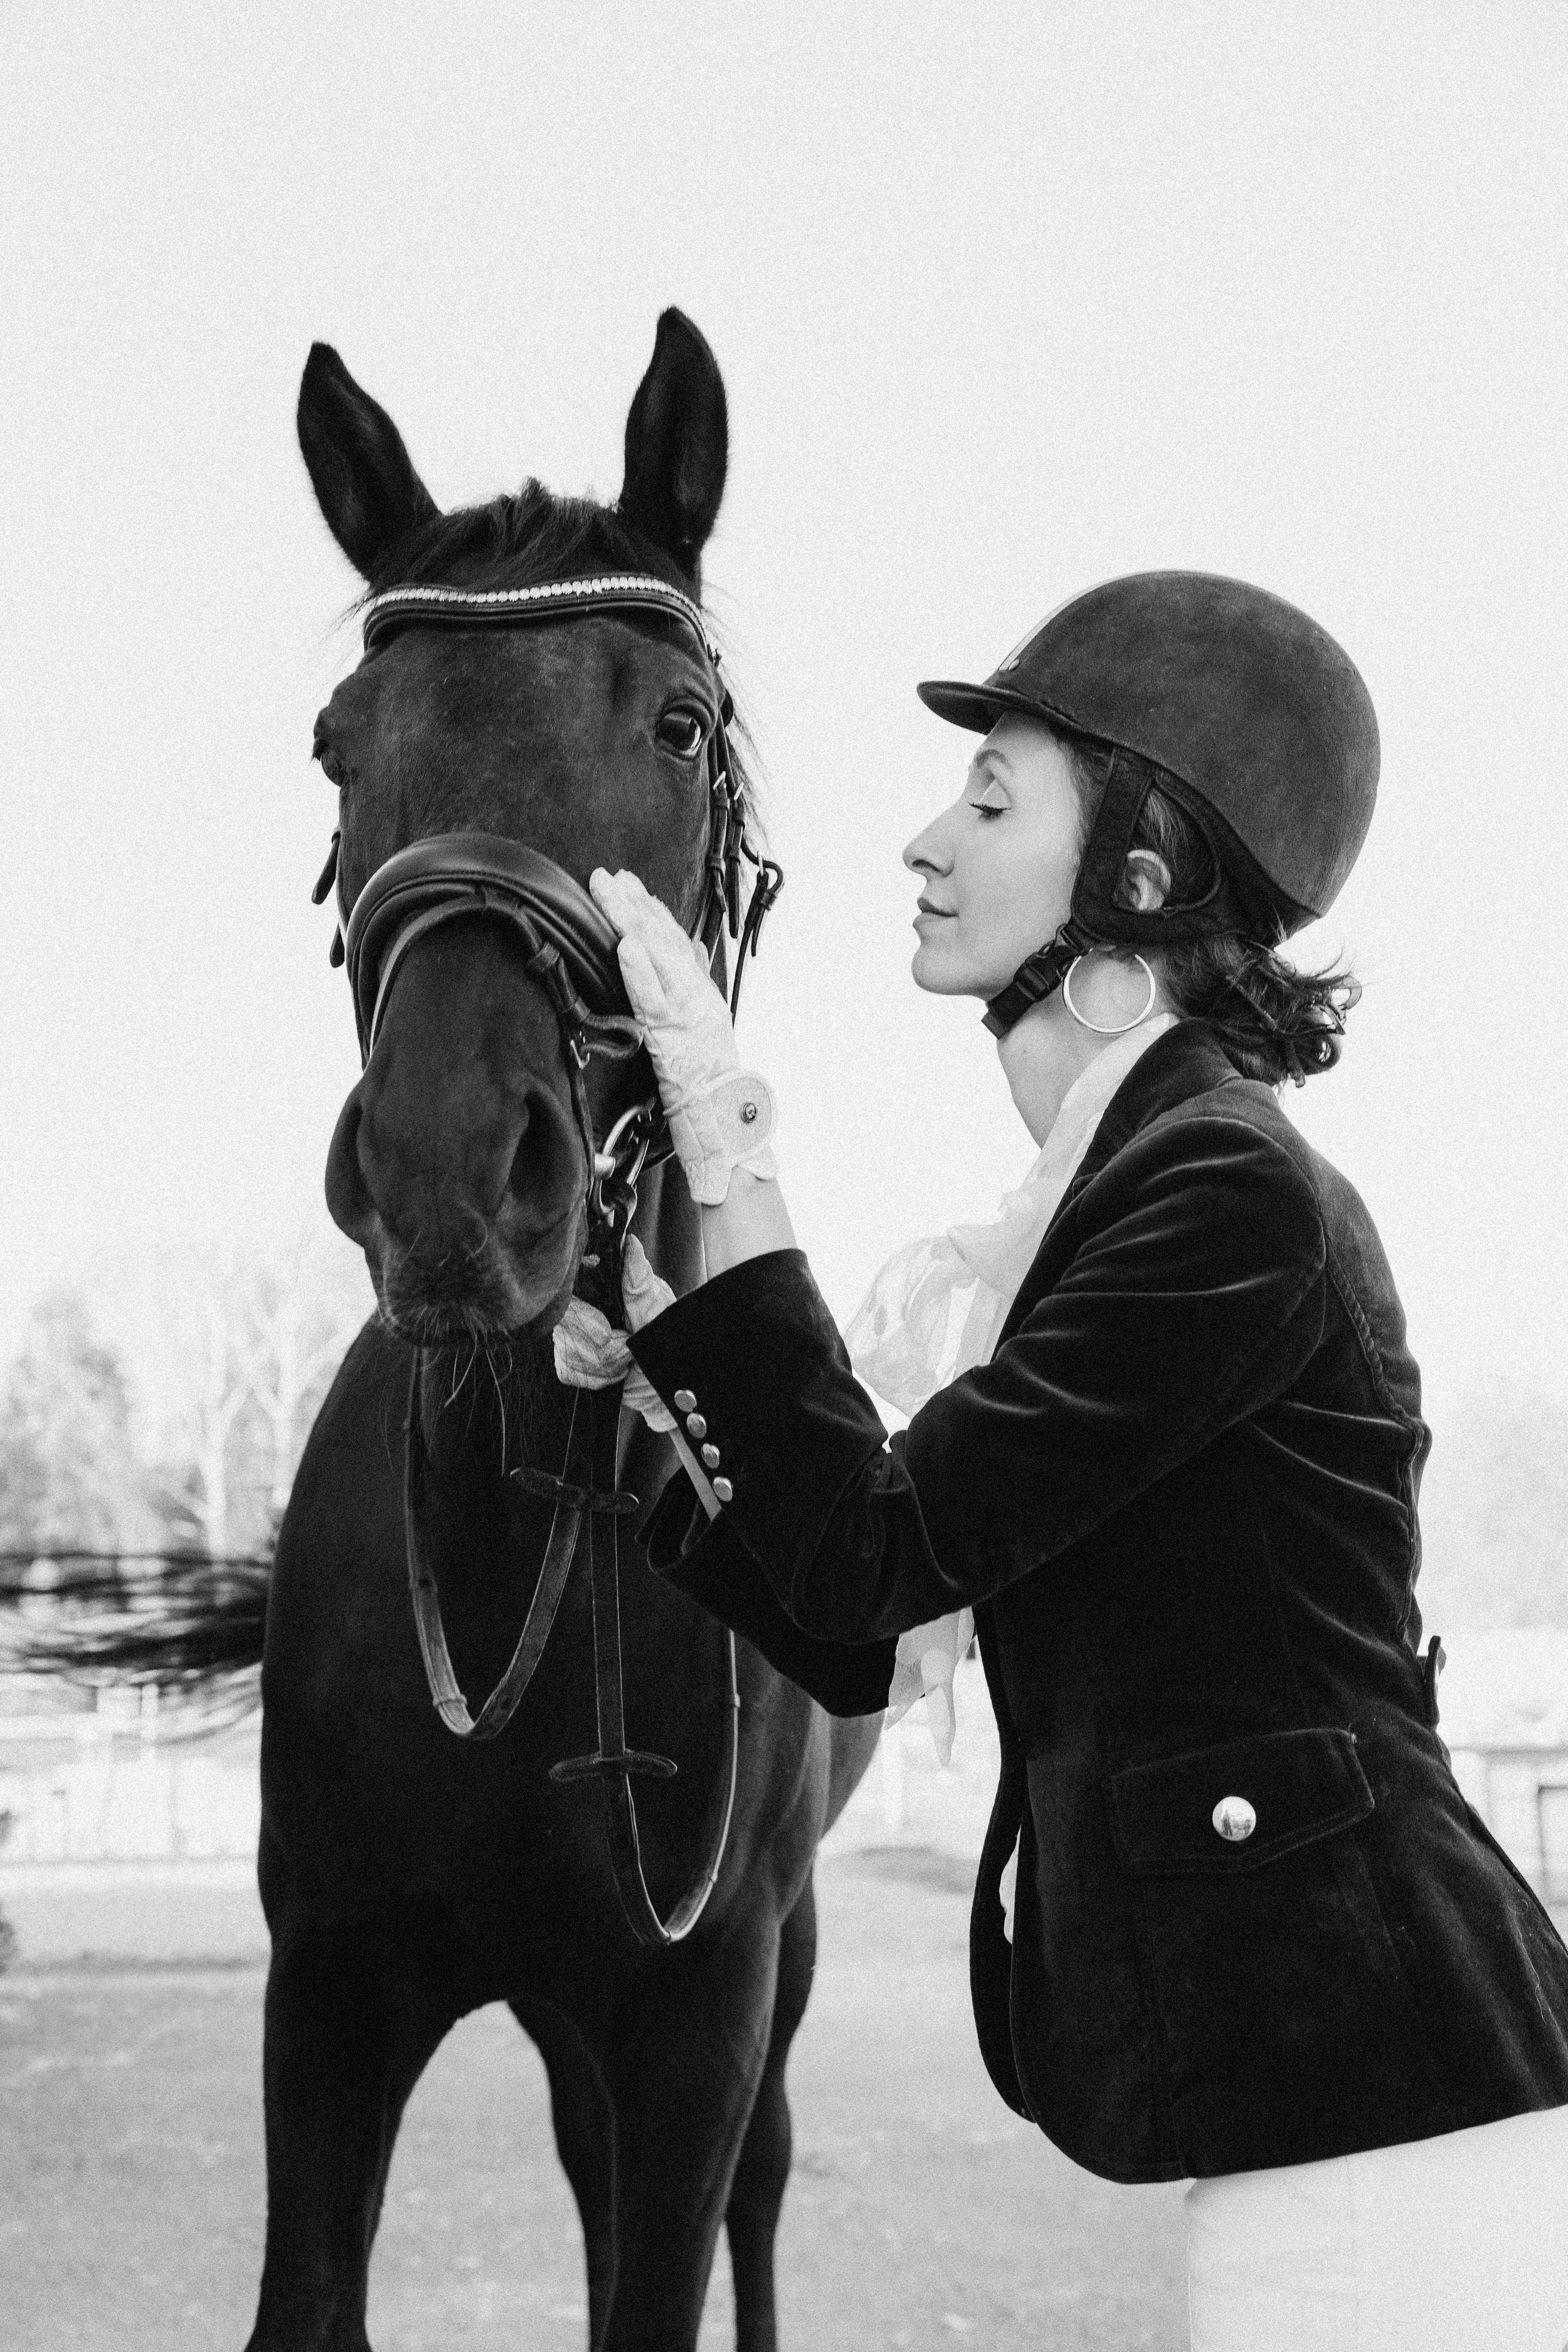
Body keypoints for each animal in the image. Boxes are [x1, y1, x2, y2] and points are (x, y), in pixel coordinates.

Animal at [224, 310, 883, 2352]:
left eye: (673, 723)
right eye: (337, 744)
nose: (450, 1170)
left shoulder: (698, 2004)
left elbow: (668, 2264)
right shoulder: (334, 1983)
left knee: (753, 2201)